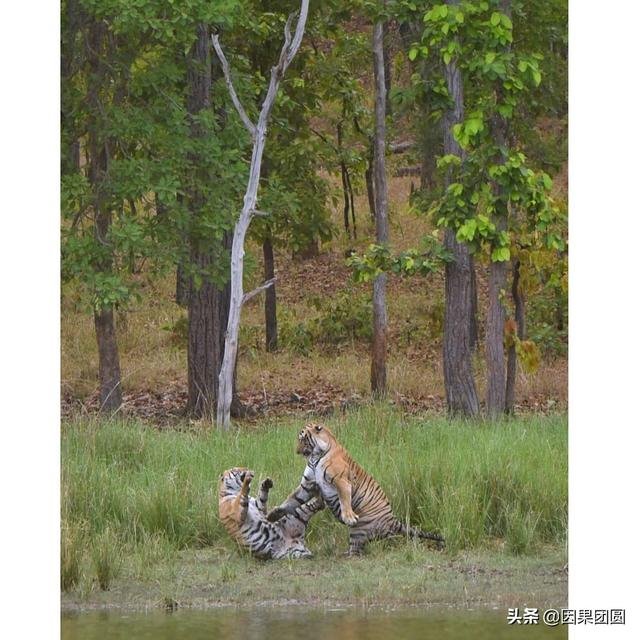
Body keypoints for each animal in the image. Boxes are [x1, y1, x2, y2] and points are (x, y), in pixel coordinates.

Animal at [266, 423, 444, 555]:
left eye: (302, 440)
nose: (297, 451)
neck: (315, 457)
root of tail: (393, 520)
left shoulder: (341, 481)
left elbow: (344, 499)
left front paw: (349, 517)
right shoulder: (307, 485)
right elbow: (292, 499)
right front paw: (273, 514)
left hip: (359, 531)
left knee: (359, 550)